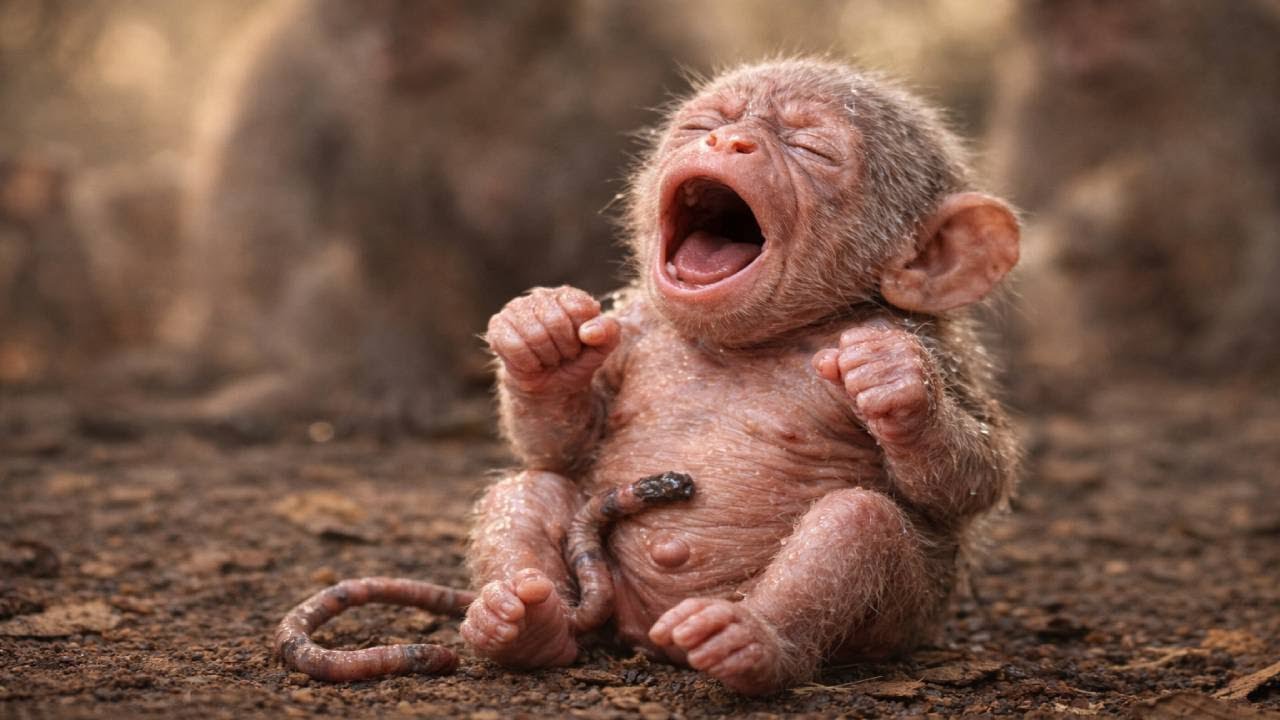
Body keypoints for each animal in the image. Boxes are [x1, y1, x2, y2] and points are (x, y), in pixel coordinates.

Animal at [155, 0, 701, 432]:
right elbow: (383, 221)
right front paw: (402, 378)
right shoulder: (355, 97)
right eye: (364, 8)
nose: (393, 36)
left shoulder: (627, 68)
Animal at [275, 58, 1021, 695]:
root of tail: (643, 636)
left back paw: (749, 640)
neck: (746, 341)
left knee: (860, 521)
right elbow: (558, 447)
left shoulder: (930, 340)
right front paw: (541, 337)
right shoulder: (626, 326)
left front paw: (896, 384)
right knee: (528, 490)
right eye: (706, 122)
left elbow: (970, 480)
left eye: (812, 148)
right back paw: (522, 622)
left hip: (906, 619)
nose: (731, 140)